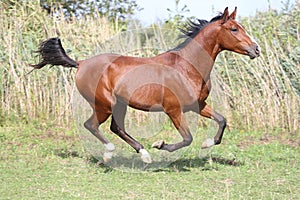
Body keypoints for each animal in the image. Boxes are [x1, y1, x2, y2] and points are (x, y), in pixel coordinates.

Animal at [31, 7, 260, 164]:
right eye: (234, 29)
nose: (256, 49)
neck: (187, 66)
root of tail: (81, 63)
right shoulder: (173, 110)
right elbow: (187, 138)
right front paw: (160, 145)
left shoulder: (199, 105)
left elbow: (222, 120)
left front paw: (207, 143)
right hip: (104, 104)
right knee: (92, 125)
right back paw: (112, 153)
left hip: (119, 104)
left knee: (116, 127)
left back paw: (143, 154)